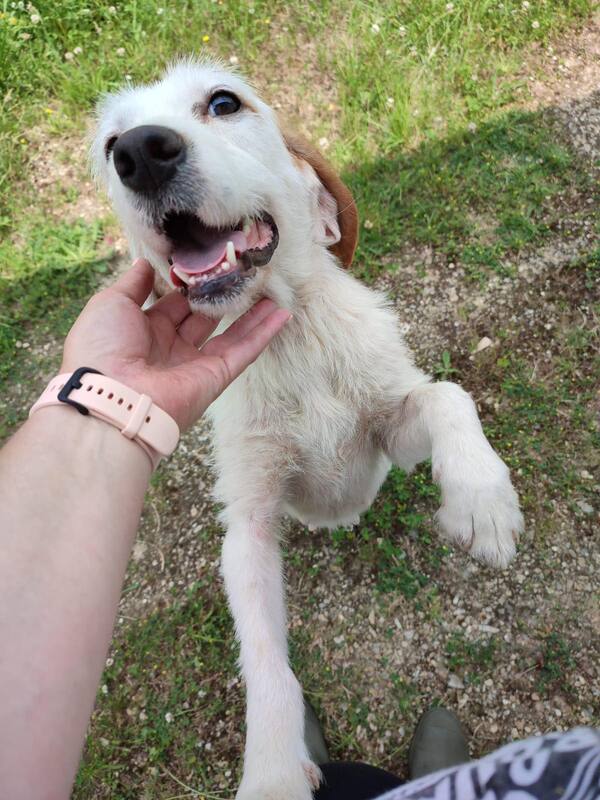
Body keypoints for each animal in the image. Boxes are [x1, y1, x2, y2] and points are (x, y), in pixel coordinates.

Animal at [92, 59, 524, 800]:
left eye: (224, 102)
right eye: (111, 142)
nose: (141, 153)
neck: (291, 342)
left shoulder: (390, 436)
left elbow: (447, 395)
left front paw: (481, 498)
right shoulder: (250, 523)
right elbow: (267, 663)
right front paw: (271, 768)